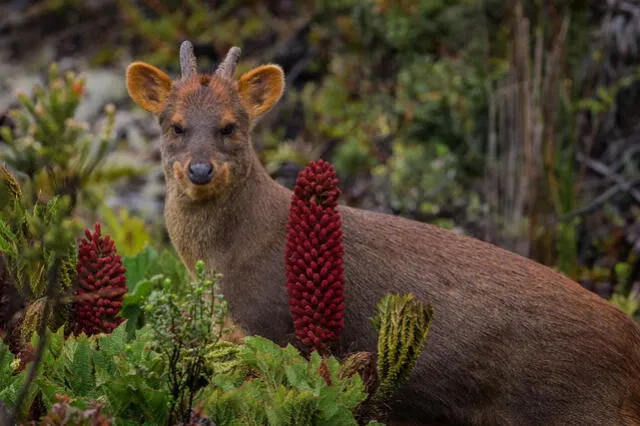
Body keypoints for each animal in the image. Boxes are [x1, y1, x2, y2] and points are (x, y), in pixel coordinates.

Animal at [127, 42, 640, 426]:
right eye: (175, 126)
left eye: (231, 127)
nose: (200, 170)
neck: (230, 258)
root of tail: (632, 342)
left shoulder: (274, 330)